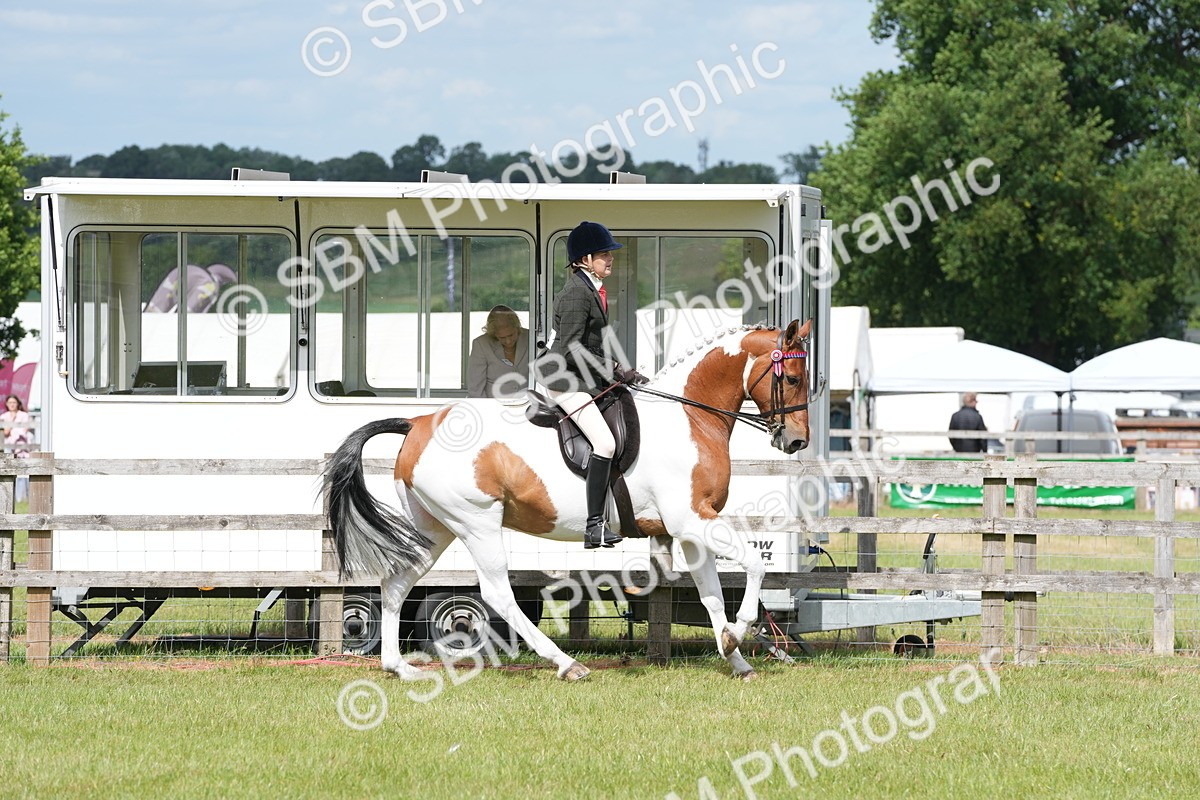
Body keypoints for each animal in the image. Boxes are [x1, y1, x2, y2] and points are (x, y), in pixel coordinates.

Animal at [323, 318, 812, 681]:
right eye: (791, 378)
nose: (797, 441)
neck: (690, 414)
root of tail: (418, 423)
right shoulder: (691, 519)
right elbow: (755, 564)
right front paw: (739, 632)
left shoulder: (693, 528)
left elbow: (712, 597)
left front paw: (735, 657)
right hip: (478, 524)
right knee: (497, 594)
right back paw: (567, 664)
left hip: (435, 529)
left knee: (396, 582)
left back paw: (398, 667)